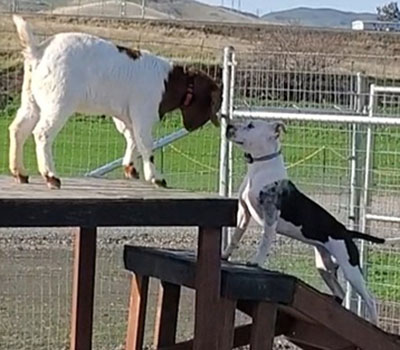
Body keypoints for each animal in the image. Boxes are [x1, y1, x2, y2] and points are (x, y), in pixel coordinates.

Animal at [223, 119, 386, 324]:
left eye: (251, 125)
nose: (229, 126)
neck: (260, 169)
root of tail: (346, 232)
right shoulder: (244, 213)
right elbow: (235, 238)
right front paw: (224, 255)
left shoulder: (270, 215)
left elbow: (264, 243)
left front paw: (256, 262)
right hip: (324, 266)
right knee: (340, 292)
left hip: (351, 269)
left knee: (370, 299)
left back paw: (373, 323)